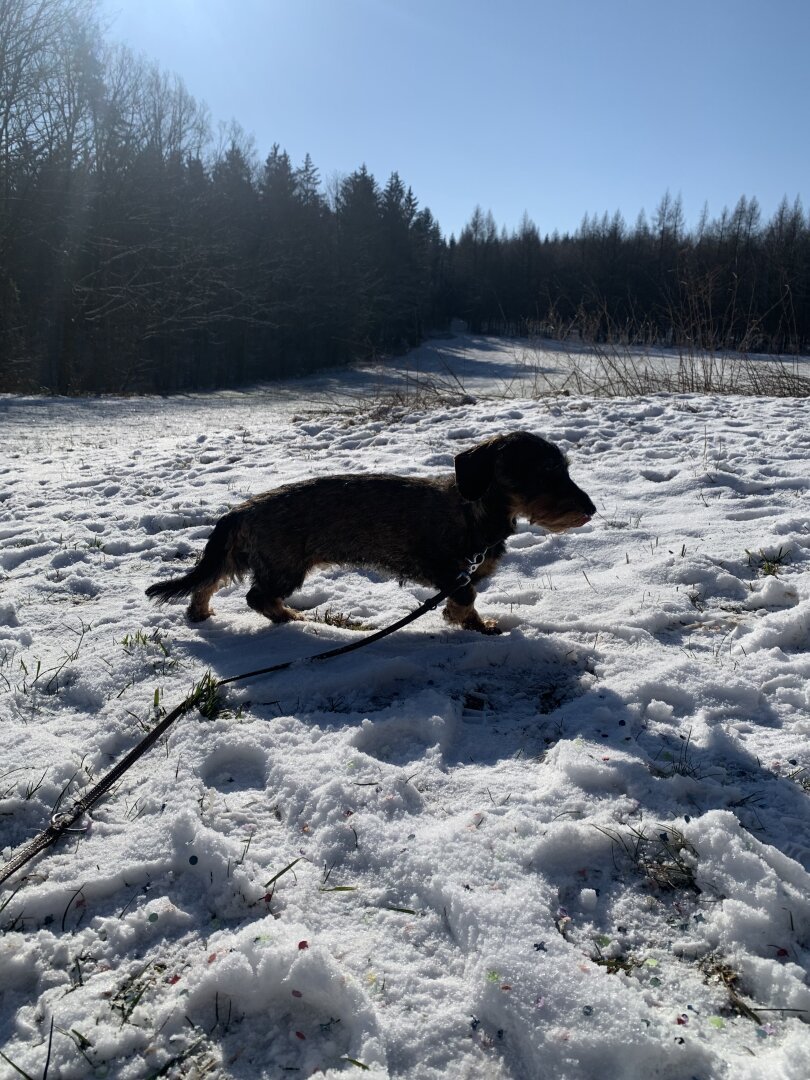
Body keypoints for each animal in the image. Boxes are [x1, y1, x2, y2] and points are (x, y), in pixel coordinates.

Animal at [145, 431, 595, 633]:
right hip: (284, 566)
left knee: (209, 581)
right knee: (256, 596)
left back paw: (200, 612)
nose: (590, 510)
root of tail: (241, 510)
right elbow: (466, 597)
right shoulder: (451, 572)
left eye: (565, 469)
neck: (473, 510)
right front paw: (473, 625)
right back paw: (287, 616)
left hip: (245, 556)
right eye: (546, 473)